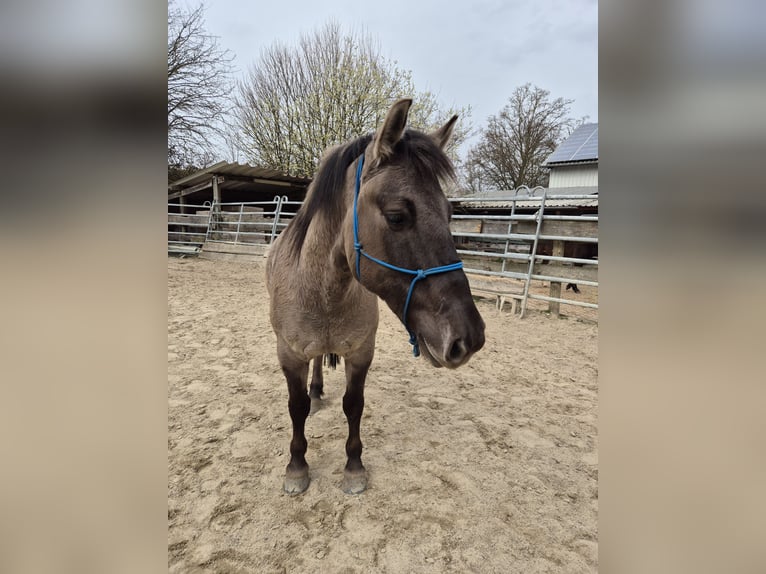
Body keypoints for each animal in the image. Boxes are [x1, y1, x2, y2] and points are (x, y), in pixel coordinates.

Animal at [268, 98, 486, 496]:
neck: (324, 291)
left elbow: (354, 406)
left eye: (449, 213)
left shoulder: (361, 353)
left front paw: (354, 468)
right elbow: (296, 407)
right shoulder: (289, 355)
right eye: (397, 216)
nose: (469, 338)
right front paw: (297, 467)